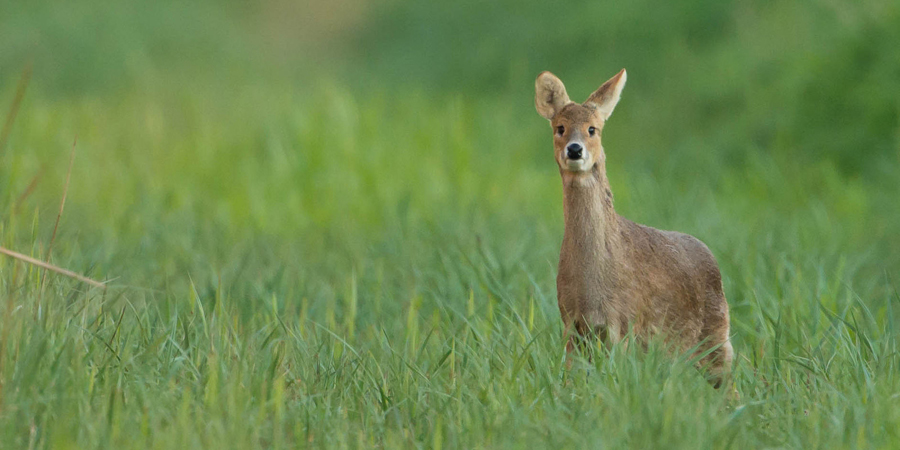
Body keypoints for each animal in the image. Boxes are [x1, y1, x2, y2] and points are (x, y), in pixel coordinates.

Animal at [536, 67, 732, 386]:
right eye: (560, 127)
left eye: (593, 129)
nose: (575, 150)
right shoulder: (571, 322)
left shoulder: (625, 321)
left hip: (716, 337)